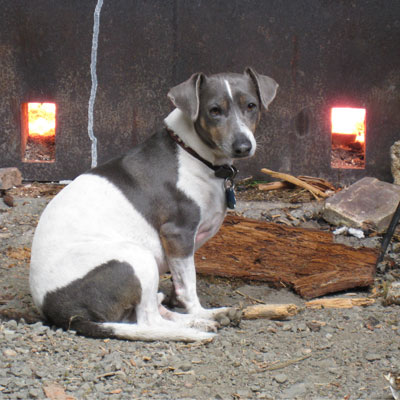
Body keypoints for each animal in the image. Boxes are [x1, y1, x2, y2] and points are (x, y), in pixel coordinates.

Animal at [29, 67, 278, 342]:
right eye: (214, 110)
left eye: (251, 106)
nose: (243, 146)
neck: (194, 154)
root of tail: (63, 313)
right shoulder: (178, 234)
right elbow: (188, 286)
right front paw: (198, 312)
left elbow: (179, 286)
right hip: (138, 259)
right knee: (148, 322)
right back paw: (197, 326)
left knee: (148, 314)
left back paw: (208, 318)